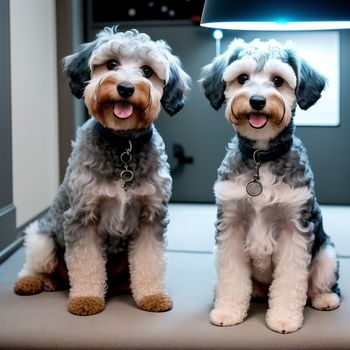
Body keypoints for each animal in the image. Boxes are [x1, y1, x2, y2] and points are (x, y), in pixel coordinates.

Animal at [13, 26, 190, 318]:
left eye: (147, 71)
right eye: (111, 64)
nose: (126, 87)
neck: (123, 146)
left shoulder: (151, 216)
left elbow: (150, 262)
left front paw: (151, 295)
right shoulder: (82, 217)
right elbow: (86, 263)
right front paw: (85, 299)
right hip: (42, 237)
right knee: (38, 263)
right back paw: (33, 281)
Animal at [201, 39, 340, 334]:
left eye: (278, 80)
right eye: (242, 78)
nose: (257, 100)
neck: (261, 157)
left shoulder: (294, 229)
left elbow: (290, 280)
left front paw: (284, 318)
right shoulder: (230, 224)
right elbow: (231, 276)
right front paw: (228, 310)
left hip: (327, 254)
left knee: (320, 284)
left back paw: (324, 297)